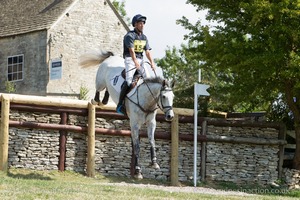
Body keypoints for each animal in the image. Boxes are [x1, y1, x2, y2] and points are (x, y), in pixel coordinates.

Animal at [79, 49, 176, 179]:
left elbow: (152, 141)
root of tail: (111, 57)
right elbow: (137, 146)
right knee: (98, 89)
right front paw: (138, 171)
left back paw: (104, 101)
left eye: (173, 97)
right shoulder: (134, 124)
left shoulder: (151, 123)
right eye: (164, 96)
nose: (170, 116)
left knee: (107, 92)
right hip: (100, 81)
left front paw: (154, 163)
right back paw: (96, 101)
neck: (147, 99)